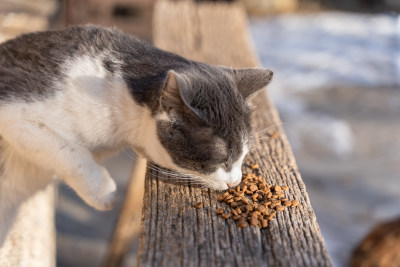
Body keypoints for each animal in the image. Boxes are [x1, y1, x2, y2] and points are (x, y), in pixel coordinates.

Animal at [0, 25, 272, 247]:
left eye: (243, 155)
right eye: (221, 159)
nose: (235, 182)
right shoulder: (14, 111)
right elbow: (68, 152)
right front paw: (104, 192)